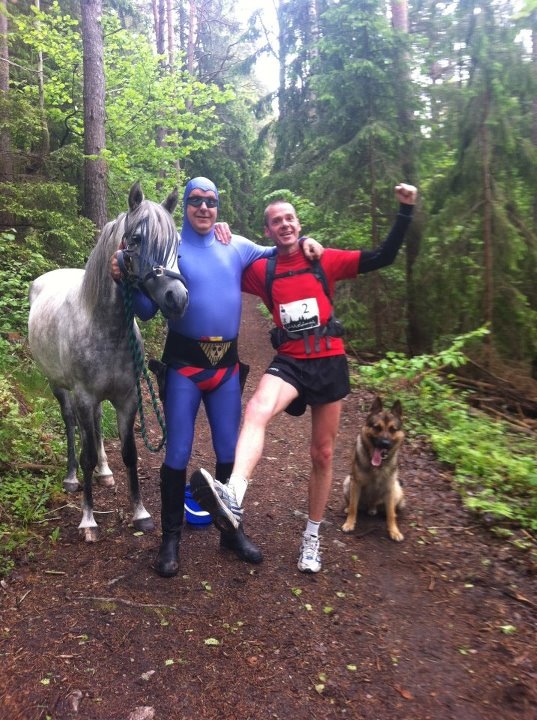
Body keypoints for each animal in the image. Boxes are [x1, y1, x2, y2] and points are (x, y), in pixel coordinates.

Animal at [28, 182, 189, 542]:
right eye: (137, 238)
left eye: (178, 245)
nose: (178, 298)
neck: (104, 324)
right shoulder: (84, 395)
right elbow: (86, 452)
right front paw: (88, 520)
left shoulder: (127, 398)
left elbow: (130, 453)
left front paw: (140, 513)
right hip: (59, 387)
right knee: (71, 425)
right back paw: (72, 478)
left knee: (98, 425)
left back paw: (104, 471)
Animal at [342, 396, 405, 541]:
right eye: (377, 427)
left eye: (393, 429)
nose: (385, 444)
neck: (377, 466)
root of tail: (370, 506)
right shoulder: (356, 483)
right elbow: (353, 507)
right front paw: (349, 523)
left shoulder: (389, 487)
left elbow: (391, 515)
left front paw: (394, 531)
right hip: (348, 482)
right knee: (353, 504)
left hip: (397, 490)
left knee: (389, 509)